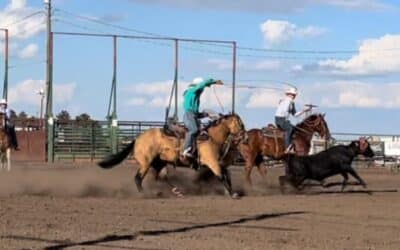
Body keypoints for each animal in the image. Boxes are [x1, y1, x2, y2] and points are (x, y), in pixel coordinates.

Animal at [98, 113, 245, 197]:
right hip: (146, 163)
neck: (212, 137)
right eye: (240, 123)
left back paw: (176, 191)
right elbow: (221, 176)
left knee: (161, 178)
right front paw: (232, 193)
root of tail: (138, 138)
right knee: (138, 178)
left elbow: (227, 175)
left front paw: (231, 191)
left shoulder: (219, 163)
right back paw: (144, 194)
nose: (244, 136)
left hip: (159, 163)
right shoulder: (212, 162)